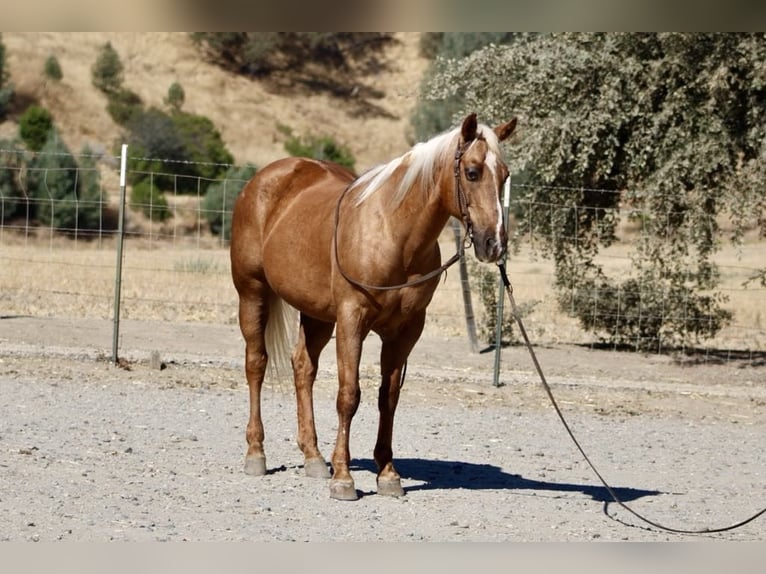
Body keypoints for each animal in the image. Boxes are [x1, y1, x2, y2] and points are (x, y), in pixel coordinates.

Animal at [230, 113, 517, 500]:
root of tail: (264, 178)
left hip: (317, 315)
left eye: (504, 174)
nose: (494, 244)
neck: (393, 234)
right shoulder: (352, 320)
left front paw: (388, 474)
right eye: (472, 172)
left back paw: (314, 458)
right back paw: (256, 453)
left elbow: (388, 398)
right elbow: (349, 395)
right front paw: (343, 479)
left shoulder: (405, 331)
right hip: (253, 293)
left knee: (303, 367)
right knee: (256, 364)